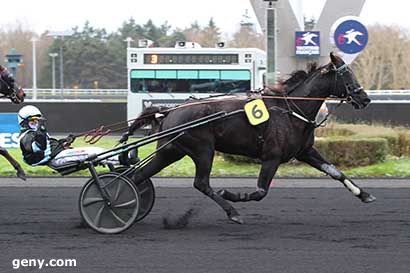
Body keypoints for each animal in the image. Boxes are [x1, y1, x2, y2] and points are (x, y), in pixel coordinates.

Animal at [122, 52, 374, 222]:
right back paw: (232, 212)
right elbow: (260, 191)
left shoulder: (305, 152)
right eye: (347, 75)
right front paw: (232, 195)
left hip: (170, 151)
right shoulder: (271, 157)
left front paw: (363, 194)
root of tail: (169, 110)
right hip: (203, 150)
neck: (291, 110)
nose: (365, 98)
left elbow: (335, 172)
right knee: (201, 183)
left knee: (138, 176)